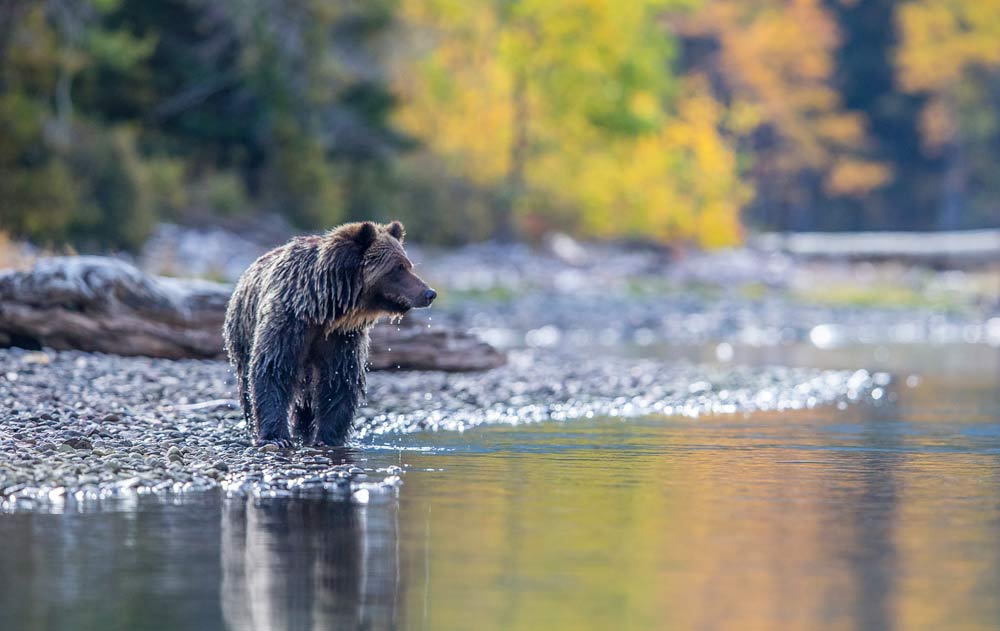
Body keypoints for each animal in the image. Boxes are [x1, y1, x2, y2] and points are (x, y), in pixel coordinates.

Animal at [223, 220, 436, 448]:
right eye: (398, 267)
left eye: (409, 265)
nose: (429, 293)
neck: (323, 308)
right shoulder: (289, 322)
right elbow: (274, 368)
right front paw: (276, 437)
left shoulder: (341, 336)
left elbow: (339, 379)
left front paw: (329, 438)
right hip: (242, 334)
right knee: (247, 384)